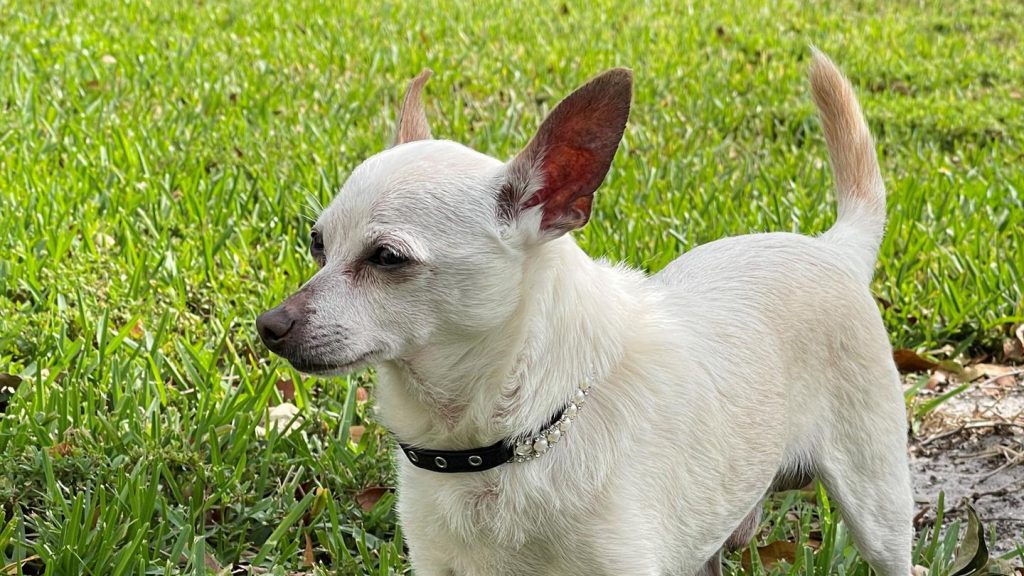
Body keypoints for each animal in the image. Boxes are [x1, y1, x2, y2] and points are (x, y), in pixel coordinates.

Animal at [258, 50, 913, 573]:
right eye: (317, 244)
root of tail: (834, 247)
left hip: (878, 505)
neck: (500, 444)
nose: (270, 326)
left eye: (388, 258)